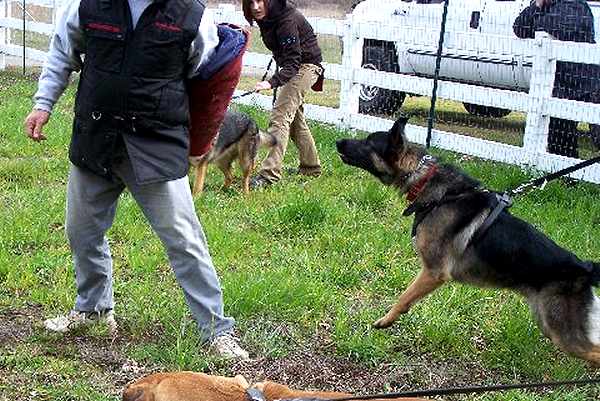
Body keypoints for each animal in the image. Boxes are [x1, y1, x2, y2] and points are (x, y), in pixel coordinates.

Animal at [338, 117, 600, 364]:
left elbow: (404, 297)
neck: (429, 185)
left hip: (561, 331)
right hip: (548, 324)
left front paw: (385, 320)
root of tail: (585, 268)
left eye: (368, 142)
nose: (338, 141)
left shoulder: (433, 272)